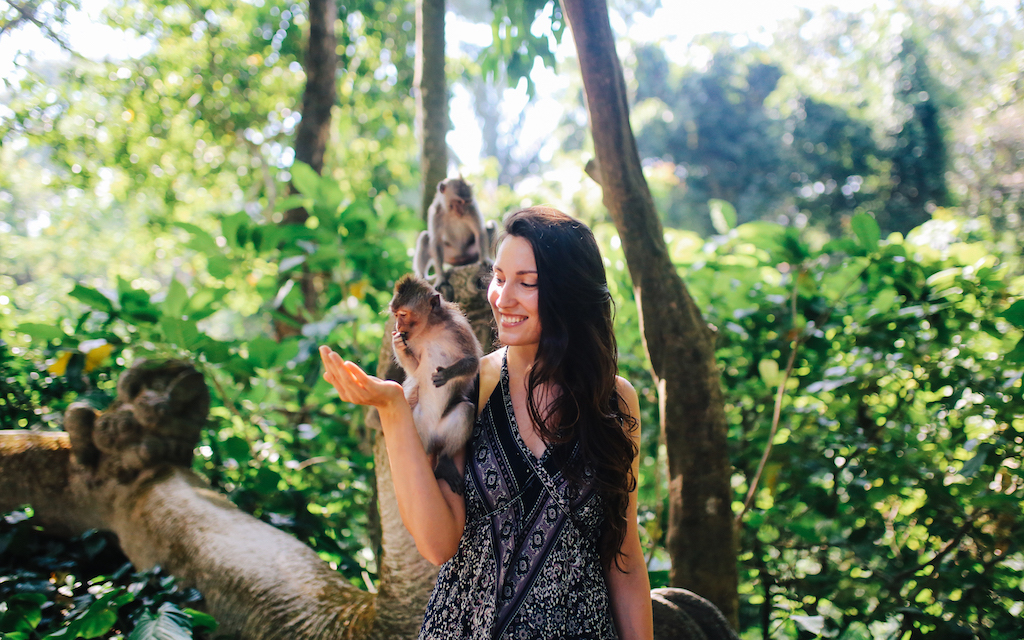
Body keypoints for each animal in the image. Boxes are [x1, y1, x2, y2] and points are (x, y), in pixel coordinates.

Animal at [387, 272, 483, 491]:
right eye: (395, 315)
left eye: (403, 314)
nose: (397, 327)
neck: (430, 328)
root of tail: (431, 438)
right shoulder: (412, 340)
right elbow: (415, 369)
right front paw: (397, 344)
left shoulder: (458, 328)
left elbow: (473, 361)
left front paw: (446, 374)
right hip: (415, 426)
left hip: (442, 430)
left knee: (465, 411)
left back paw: (446, 461)